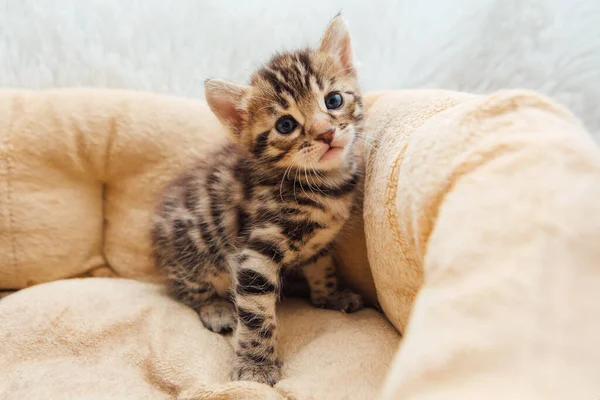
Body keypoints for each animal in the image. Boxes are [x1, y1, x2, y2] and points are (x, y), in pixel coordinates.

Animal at [152, 14, 364, 384]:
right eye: (285, 125)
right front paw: (256, 365)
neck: (324, 183)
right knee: (187, 289)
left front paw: (331, 295)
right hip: (191, 250)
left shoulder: (318, 244)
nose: (325, 133)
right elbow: (256, 315)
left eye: (334, 100)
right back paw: (216, 308)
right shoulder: (254, 254)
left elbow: (322, 267)